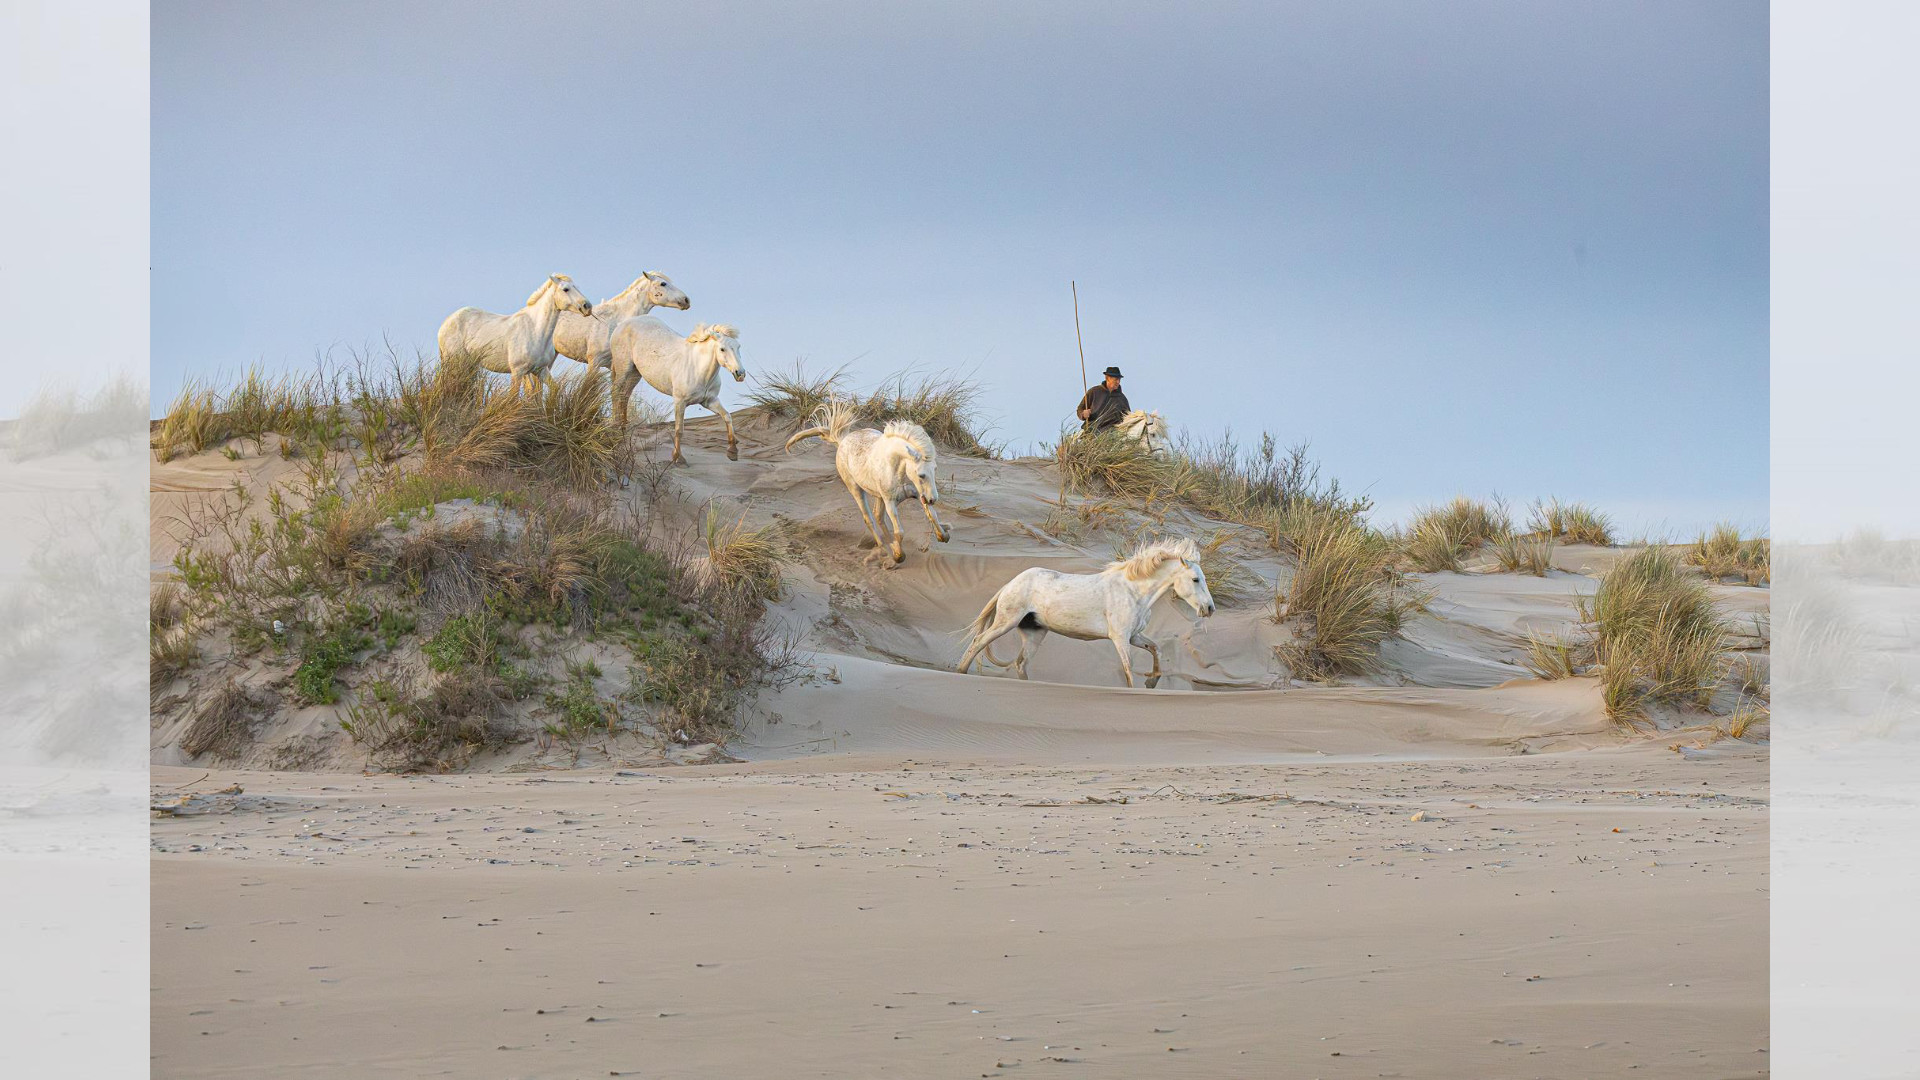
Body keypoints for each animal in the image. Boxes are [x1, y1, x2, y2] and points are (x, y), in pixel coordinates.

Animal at [439, 272, 595, 395]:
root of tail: (446, 323)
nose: (587, 307)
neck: (535, 331)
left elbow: (553, 390)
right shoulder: (517, 372)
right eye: (566, 289)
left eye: (576, 287)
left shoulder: (541, 370)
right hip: (455, 362)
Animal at [606, 315, 741, 457]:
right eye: (722, 349)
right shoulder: (679, 402)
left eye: (738, 347)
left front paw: (732, 450)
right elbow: (679, 429)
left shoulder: (710, 401)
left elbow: (727, 416)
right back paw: (616, 426)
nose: (740, 373)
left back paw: (624, 426)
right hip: (623, 368)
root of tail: (622, 324)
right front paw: (677, 457)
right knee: (616, 391)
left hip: (635, 373)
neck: (697, 367)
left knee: (625, 395)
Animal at [783, 397, 948, 564]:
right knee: (869, 518)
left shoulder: (916, 493)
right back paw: (884, 548)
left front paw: (943, 536)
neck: (896, 468)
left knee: (878, 517)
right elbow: (899, 531)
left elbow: (931, 514)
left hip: (877, 495)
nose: (933, 499)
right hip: (856, 489)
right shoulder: (890, 502)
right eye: (921, 475)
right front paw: (898, 556)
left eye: (935, 469)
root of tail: (842, 440)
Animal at [956, 534, 1213, 684]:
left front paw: (1152, 682)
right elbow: (1128, 669)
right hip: (1006, 621)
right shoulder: (1120, 638)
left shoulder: (1133, 637)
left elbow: (1156, 649)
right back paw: (960, 672)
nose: (1209, 609)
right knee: (979, 641)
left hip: (1034, 632)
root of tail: (1010, 584)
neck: (1133, 592)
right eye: (1195, 579)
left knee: (1021, 663)